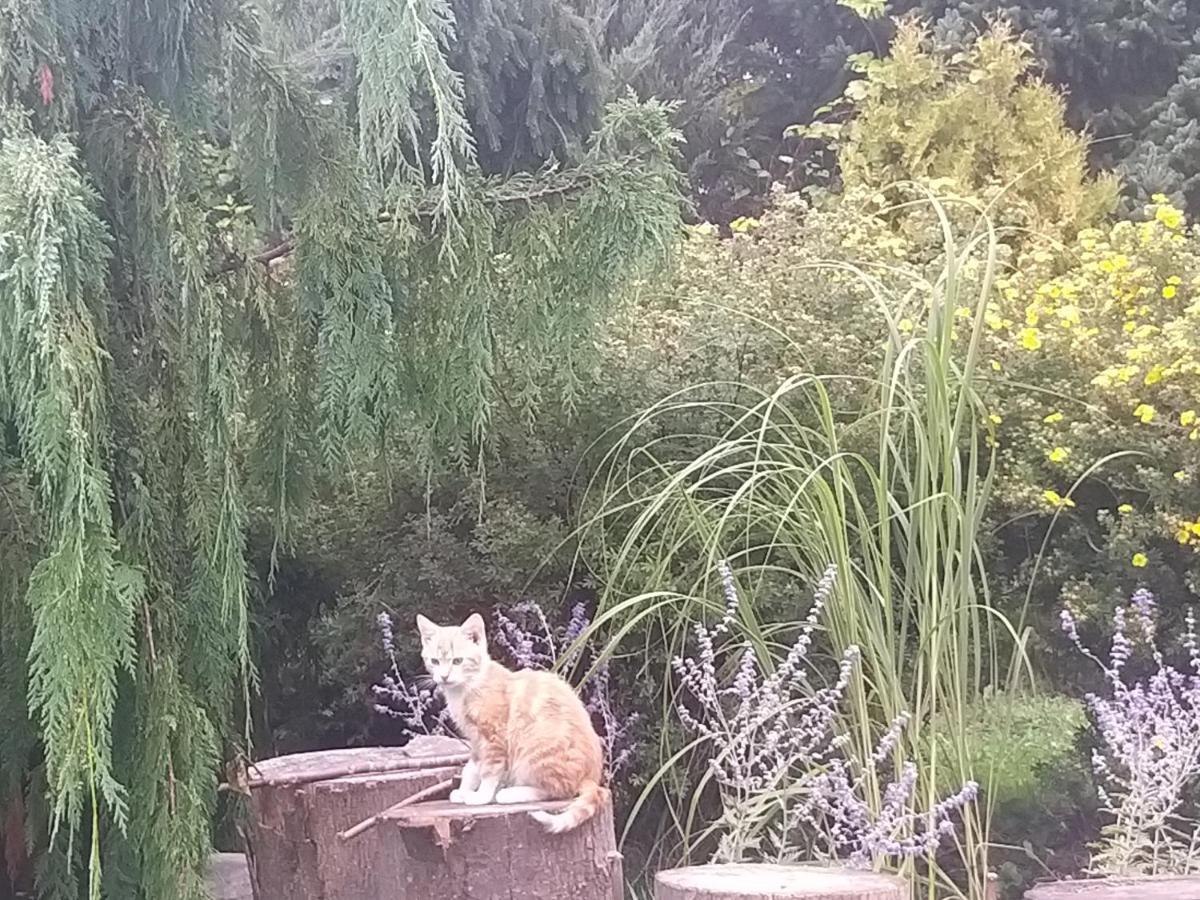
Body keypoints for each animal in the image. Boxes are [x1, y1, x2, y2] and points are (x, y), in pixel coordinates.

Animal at [422, 614, 609, 830]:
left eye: (458, 661)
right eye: (434, 661)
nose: (444, 676)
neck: (469, 686)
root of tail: (591, 777)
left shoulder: (494, 736)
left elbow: (489, 770)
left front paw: (481, 796)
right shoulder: (476, 739)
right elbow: (473, 767)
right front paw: (464, 790)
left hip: (534, 752)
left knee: (558, 790)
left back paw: (510, 793)